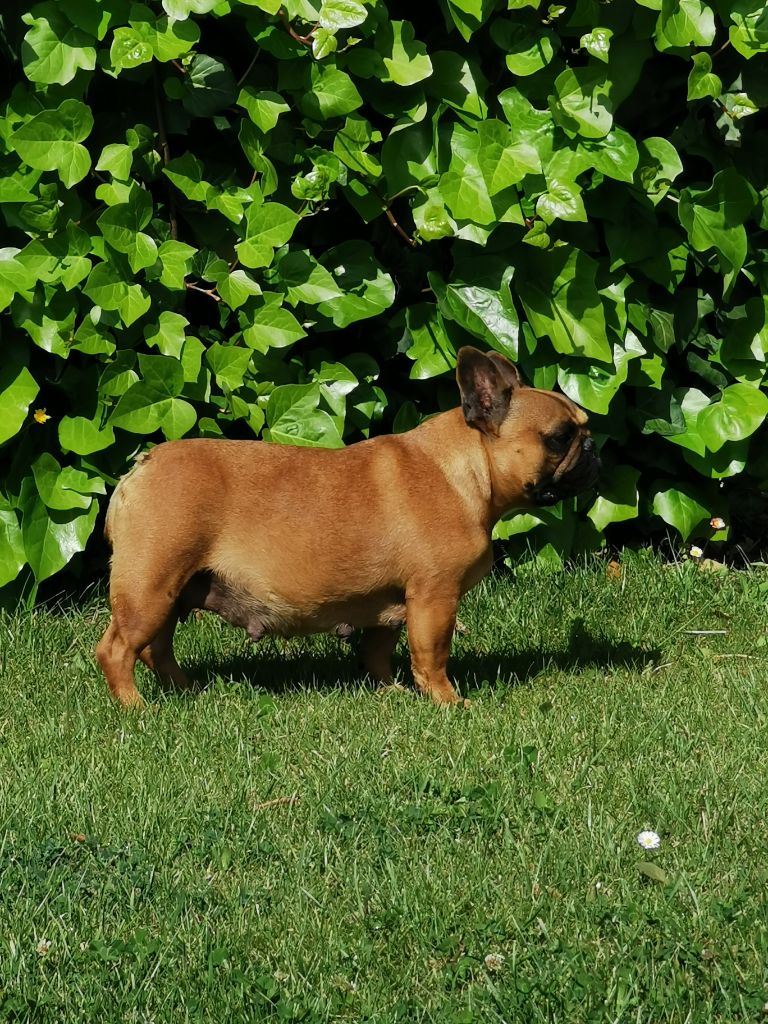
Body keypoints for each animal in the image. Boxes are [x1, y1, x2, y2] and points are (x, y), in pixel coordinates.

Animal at [96, 346, 599, 708]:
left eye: (583, 427)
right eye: (560, 437)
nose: (594, 448)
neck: (468, 471)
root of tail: (142, 467)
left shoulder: (393, 604)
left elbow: (378, 652)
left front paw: (392, 691)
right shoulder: (434, 597)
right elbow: (432, 655)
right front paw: (447, 702)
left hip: (171, 589)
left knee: (156, 648)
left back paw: (186, 692)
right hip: (150, 586)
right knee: (118, 650)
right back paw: (136, 708)